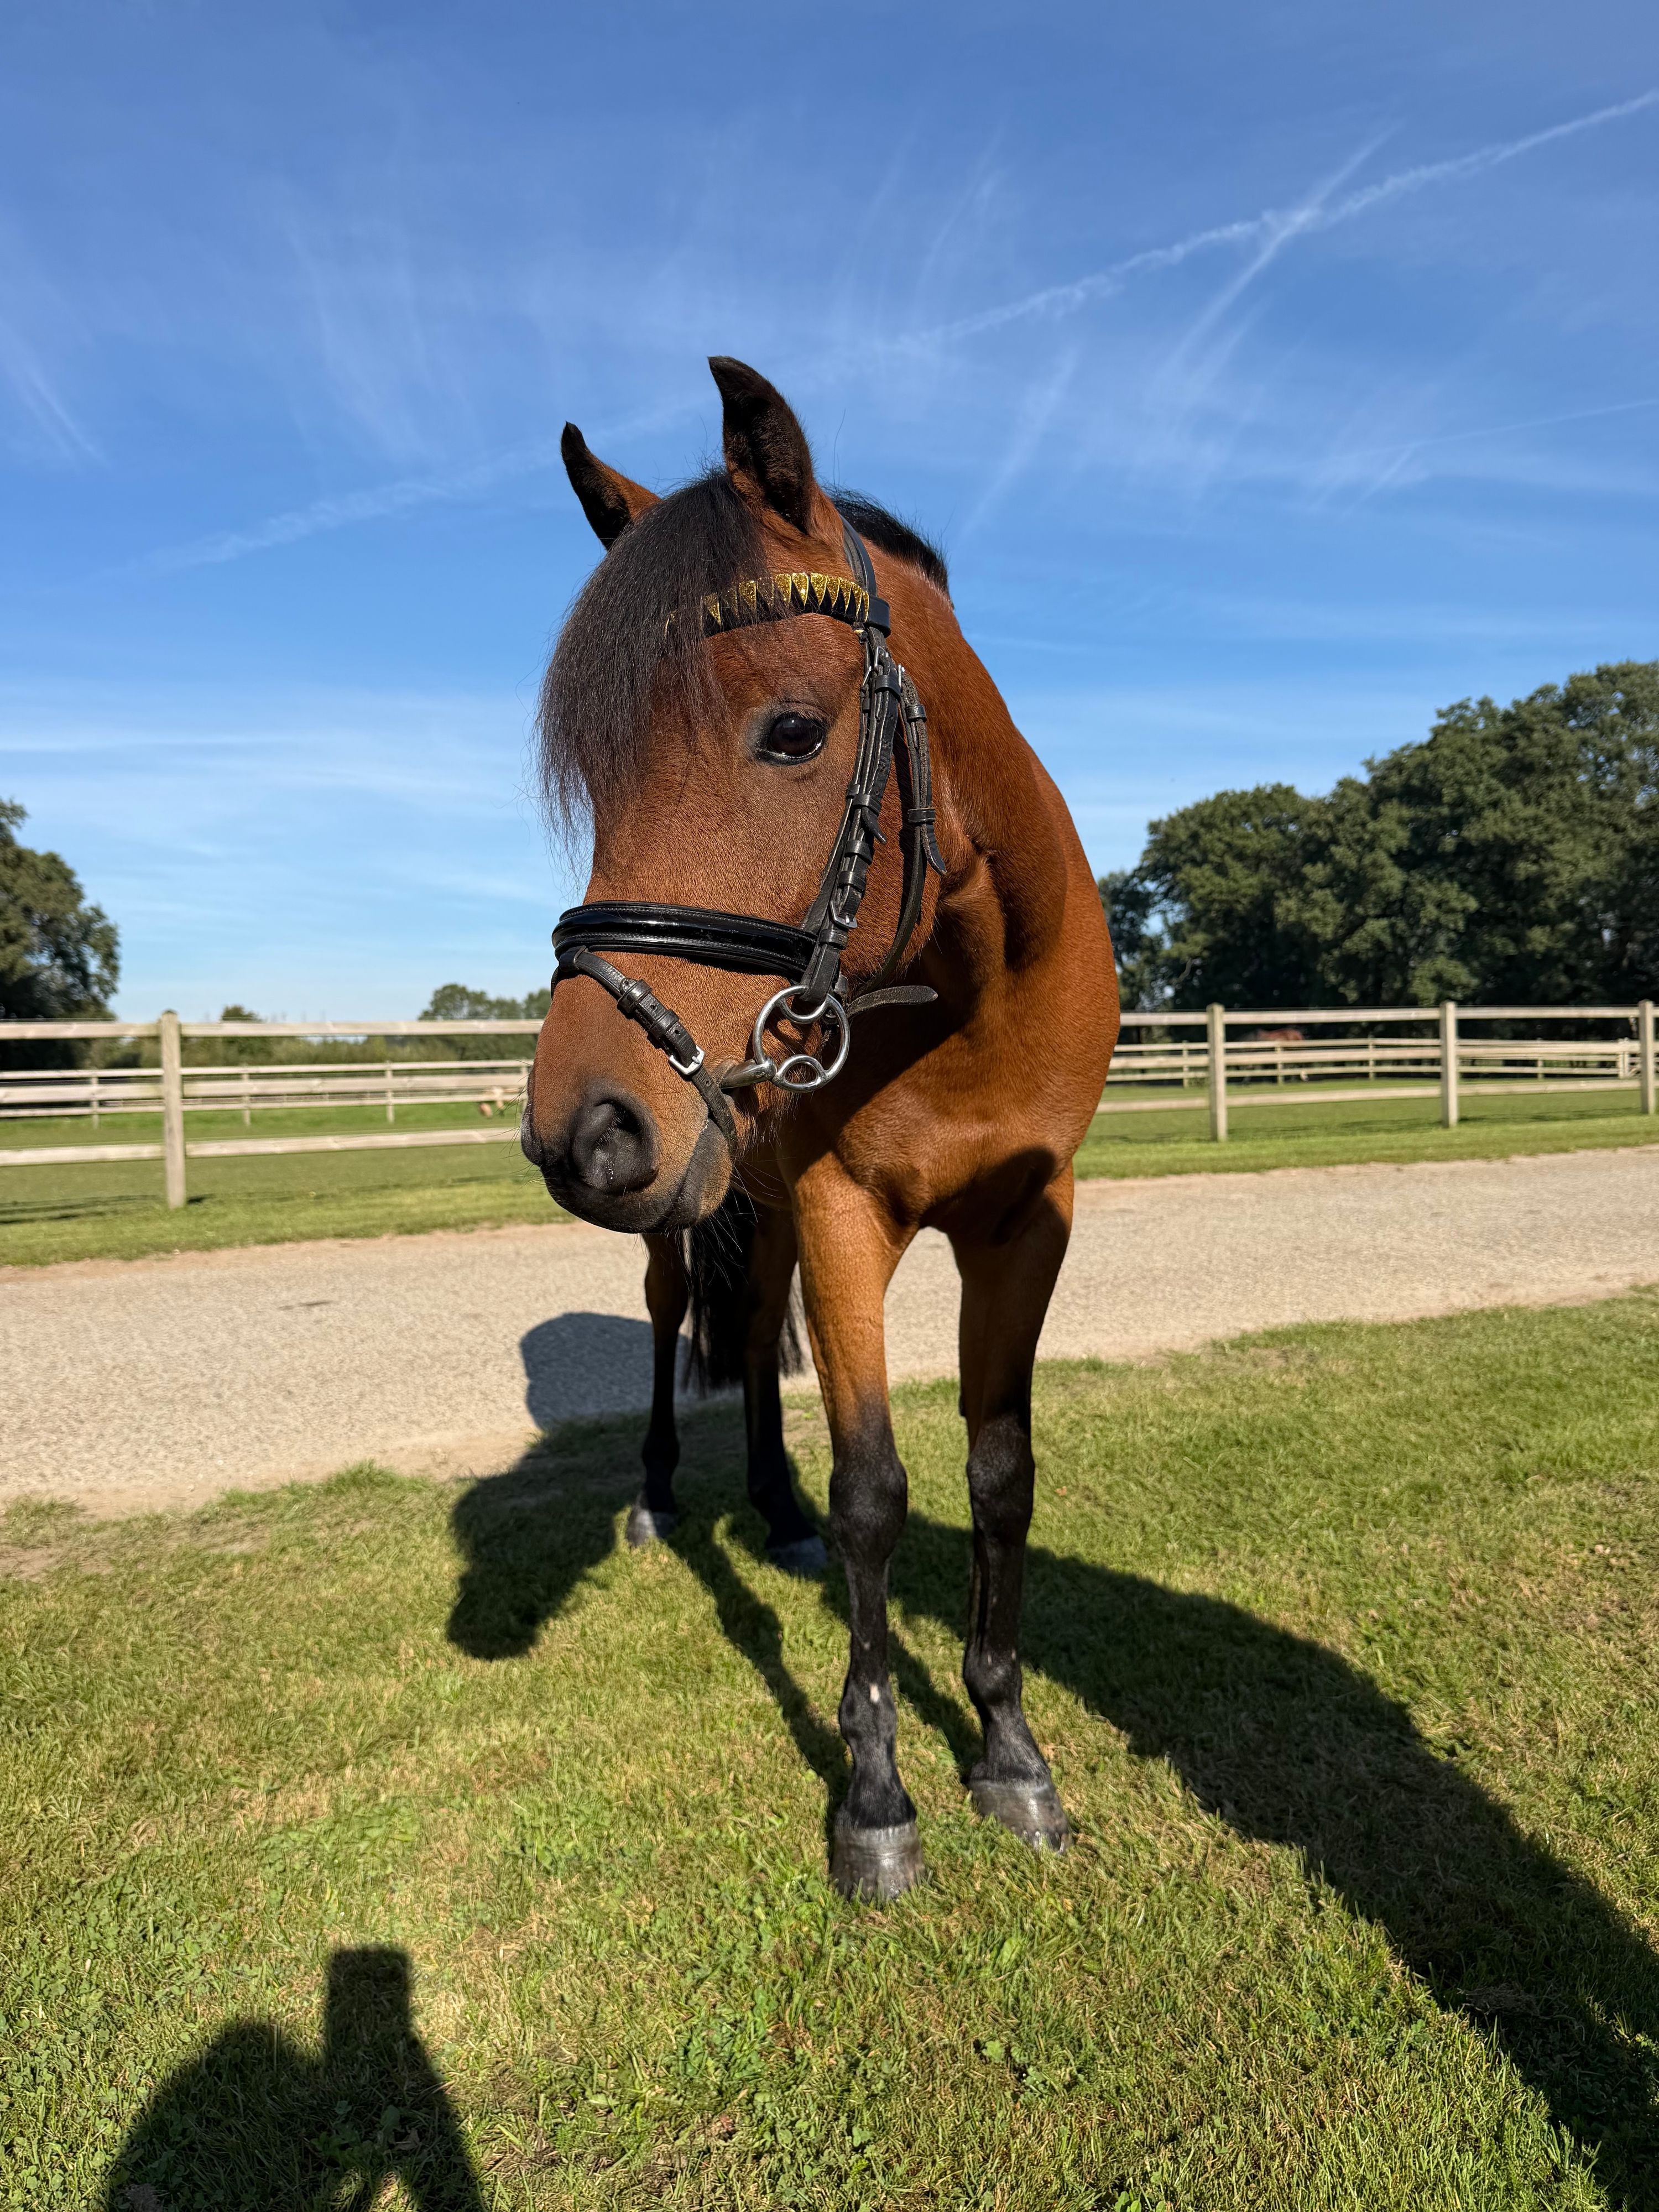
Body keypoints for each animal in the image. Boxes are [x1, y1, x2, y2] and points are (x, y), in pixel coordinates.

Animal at [522, 357, 1118, 1899]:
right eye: (594, 773)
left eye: (791, 731)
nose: (578, 1130)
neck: (967, 990)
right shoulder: (854, 1209)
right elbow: (876, 1490)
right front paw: (875, 1796)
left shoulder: (1028, 1218)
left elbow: (998, 1474)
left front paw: (1010, 1752)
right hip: (698, 1219)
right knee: (678, 1322)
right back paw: (666, 1495)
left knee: (753, 1331)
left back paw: (769, 1508)